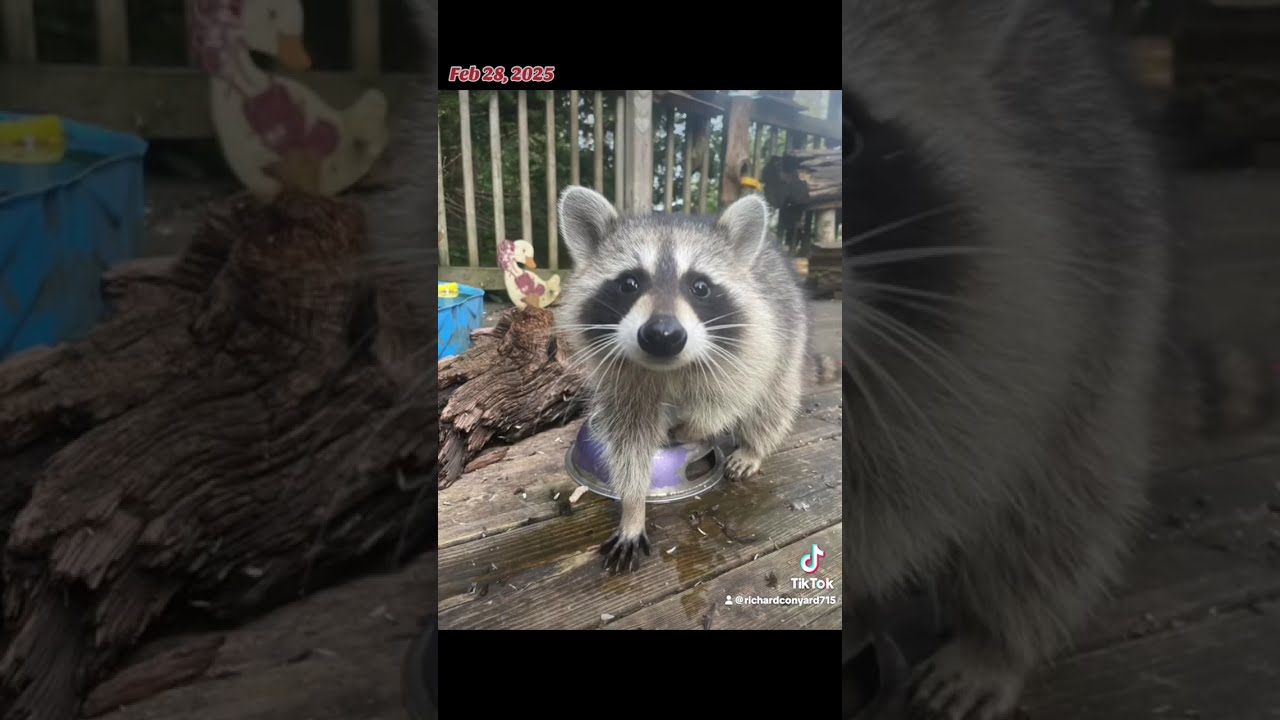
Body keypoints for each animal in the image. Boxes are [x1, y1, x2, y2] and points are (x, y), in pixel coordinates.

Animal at [557, 186, 826, 573]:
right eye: (629, 283)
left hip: (788, 337)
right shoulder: (621, 379)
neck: (667, 368)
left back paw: (753, 446)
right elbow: (629, 440)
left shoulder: (751, 350)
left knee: (773, 403)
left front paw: (694, 428)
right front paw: (633, 508)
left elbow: (730, 399)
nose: (662, 334)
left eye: (700, 286)